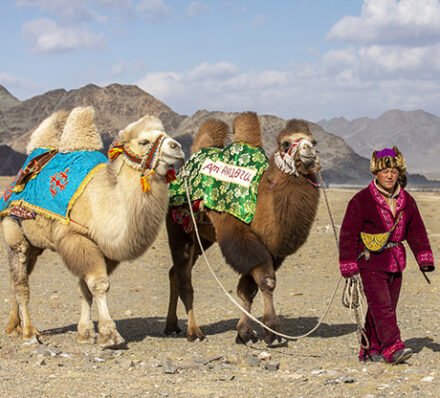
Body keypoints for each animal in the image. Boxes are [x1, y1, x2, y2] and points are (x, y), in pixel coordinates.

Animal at [165, 112, 320, 346]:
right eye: (285, 143)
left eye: (313, 141)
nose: (308, 150)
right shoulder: (239, 236)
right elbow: (266, 281)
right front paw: (272, 332)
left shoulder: (269, 248)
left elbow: (248, 290)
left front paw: (245, 333)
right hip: (177, 226)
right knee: (185, 279)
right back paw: (194, 332)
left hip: (202, 237)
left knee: (174, 272)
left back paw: (171, 326)